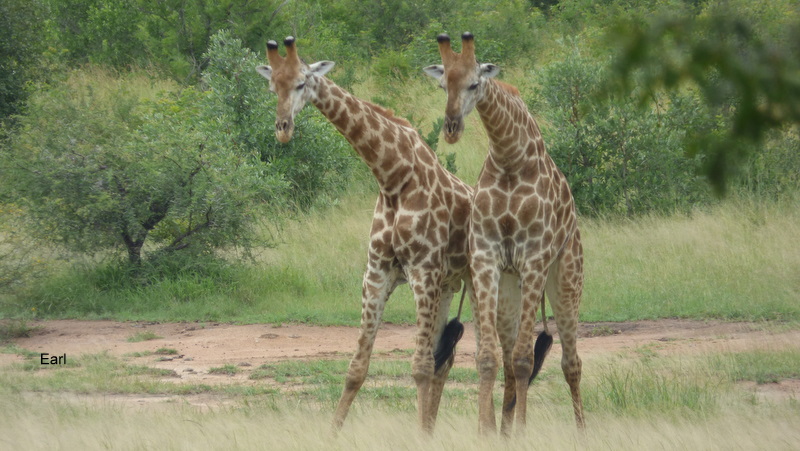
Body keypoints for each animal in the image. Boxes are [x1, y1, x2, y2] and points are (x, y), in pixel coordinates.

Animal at [255, 37, 475, 433]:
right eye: (272, 87)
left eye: (301, 83)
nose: (283, 129)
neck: (393, 177)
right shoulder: (377, 274)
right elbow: (357, 368)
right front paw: (333, 433)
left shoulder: (422, 273)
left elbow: (419, 368)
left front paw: (420, 436)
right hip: (449, 286)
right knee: (446, 361)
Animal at [424, 32, 585, 433]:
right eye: (443, 85)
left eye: (474, 83)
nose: (451, 127)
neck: (510, 158)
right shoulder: (485, 258)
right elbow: (489, 358)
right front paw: (486, 431)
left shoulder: (534, 259)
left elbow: (527, 359)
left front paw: (523, 432)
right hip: (510, 289)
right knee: (512, 358)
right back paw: (506, 430)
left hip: (566, 277)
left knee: (570, 362)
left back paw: (580, 431)